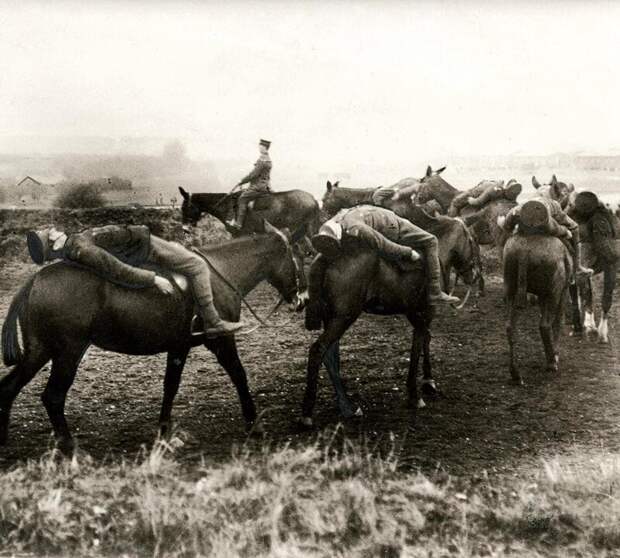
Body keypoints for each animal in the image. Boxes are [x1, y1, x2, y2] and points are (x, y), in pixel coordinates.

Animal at [1, 223, 302, 456]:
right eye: (297, 257)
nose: (300, 299)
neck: (220, 273)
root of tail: (35, 280)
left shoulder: (179, 346)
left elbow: (170, 387)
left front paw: (164, 433)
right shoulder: (221, 340)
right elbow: (239, 375)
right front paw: (255, 424)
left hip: (40, 351)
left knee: (9, 387)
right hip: (67, 353)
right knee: (52, 397)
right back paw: (71, 449)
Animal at [502, 233, 572, 384]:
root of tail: (523, 252)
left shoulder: (541, 295)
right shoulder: (562, 292)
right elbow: (559, 321)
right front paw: (555, 354)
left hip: (511, 288)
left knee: (510, 327)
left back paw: (515, 373)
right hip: (554, 292)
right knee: (545, 325)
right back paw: (551, 363)